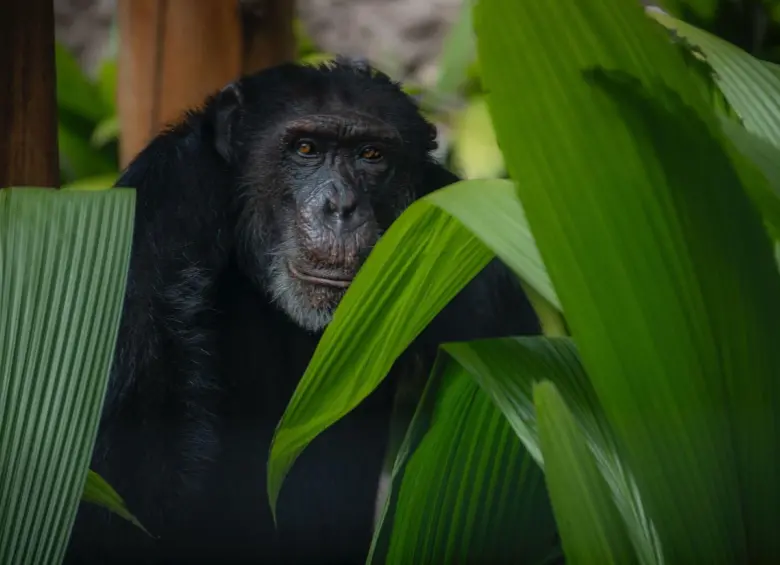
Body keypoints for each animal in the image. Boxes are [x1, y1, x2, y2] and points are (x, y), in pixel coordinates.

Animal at [64, 59, 540, 560]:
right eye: (306, 148)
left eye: (371, 155)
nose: (341, 206)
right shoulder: (157, 216)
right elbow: (124, 490)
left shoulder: (466, 244)